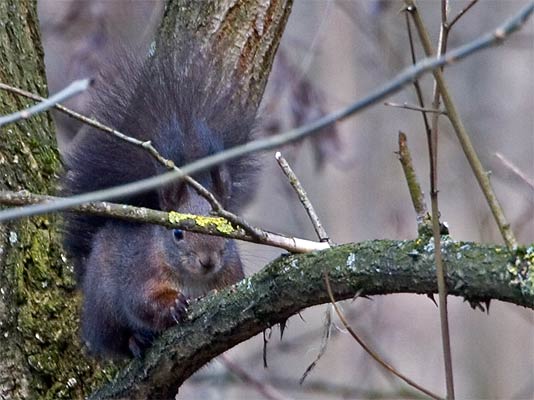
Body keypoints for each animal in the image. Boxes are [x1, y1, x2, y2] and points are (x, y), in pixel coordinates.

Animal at [62, 46, 260, 360]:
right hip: (104, 309)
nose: (208, 261)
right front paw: (173, 306)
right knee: (115, 340)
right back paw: (135, 341)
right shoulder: (141, 273)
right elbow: (143, 303)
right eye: (177, 233)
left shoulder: (231, 273)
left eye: (228, 230)